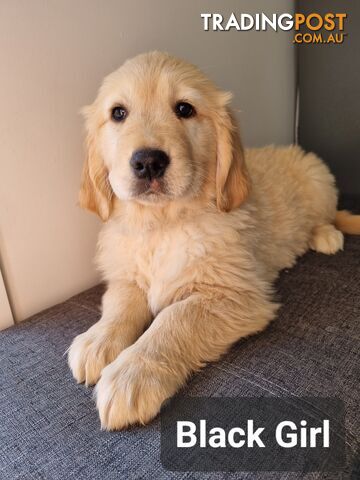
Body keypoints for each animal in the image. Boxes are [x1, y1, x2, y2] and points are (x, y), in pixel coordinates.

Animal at [68, 50, 360, 430]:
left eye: (184, 109)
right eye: (118, 113)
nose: (148, 161)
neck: (163, 223)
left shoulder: (235, 294)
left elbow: (175, 319)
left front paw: (132, 374)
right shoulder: (126, 276)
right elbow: (120, 306)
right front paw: (98, 340)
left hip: (318, 178)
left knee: (328, 214)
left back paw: (326, 235)